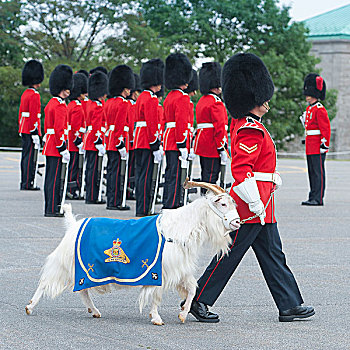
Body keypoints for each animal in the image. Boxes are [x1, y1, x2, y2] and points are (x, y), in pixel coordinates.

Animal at [25, 180, 241, 326]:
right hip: (64, 262)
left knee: (83, 290)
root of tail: (73, 225)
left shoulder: (180, 269)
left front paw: (183, 314)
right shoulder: (160, 271)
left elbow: (192, 288)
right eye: (223, 204)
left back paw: (94, 310)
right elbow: (156, 295)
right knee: (46, 281)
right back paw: (30, 306)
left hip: (84, 269)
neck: (178, 228)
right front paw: (156, 318)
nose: (238, 222)